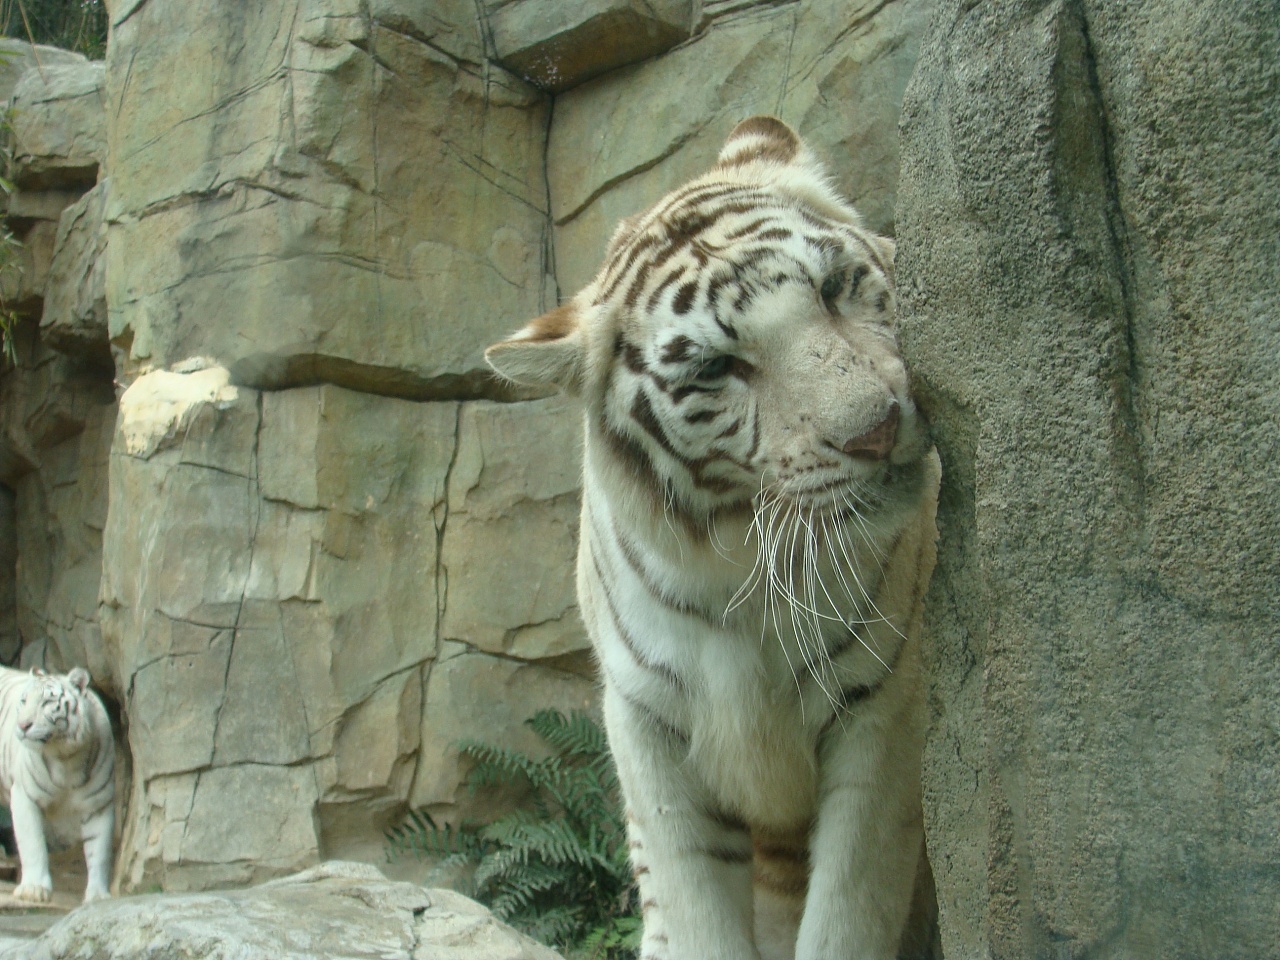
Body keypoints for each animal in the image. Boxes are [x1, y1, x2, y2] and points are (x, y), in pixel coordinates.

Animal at [0, 665, 115, 903]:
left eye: (46, 702)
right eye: (24, 700)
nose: (23, 725)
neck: (65, 756)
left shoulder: (98, 804)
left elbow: (99, 850)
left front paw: (98, 896)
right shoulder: (25, 796)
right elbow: (32, 843)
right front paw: (34, 889)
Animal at [486, 116, 939, 960]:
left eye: (833, 287)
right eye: (715, 368)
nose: (878, 428)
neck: (745, 571)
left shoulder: (882, 708)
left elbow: (849, 909)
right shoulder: (647, 725)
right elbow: (695, 909)